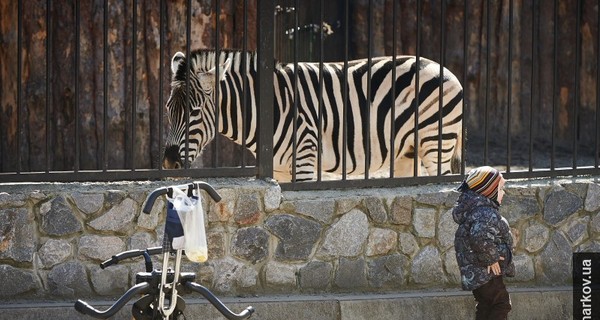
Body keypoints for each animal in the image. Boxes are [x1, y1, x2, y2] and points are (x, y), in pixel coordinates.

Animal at [162, 48, 462, 181]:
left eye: (194, 112)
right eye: (168, 110)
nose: (168, 163)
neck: (267, 108)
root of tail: (441, 66)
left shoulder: (305, 159)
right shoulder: (279, 170)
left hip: (436, 142)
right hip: (406, 153)